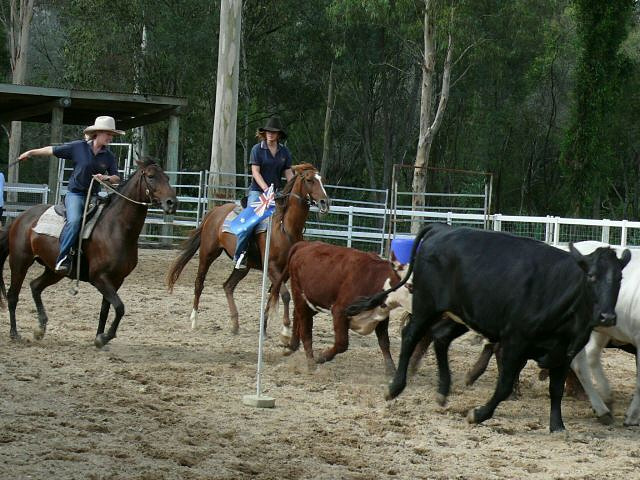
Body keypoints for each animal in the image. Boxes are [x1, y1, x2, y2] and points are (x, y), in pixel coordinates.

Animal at [0, 159, 178, 346]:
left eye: (167, 177)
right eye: (151, 176)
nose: (172, 203)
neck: (115, 228)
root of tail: (20, 219)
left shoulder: (116, 280)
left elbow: (106, 310)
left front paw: (99, 338)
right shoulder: (99, 278)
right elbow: (120, 307)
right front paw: (105, 337)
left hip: (54, 270)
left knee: (35, 286)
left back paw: (40, 329)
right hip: (20, 262)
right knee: (13, 296)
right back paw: (14, 333)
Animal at [169, 161, 330, 338]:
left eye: (321, 179)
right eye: (309, 180)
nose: (325, 202)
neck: (285, 227)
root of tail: (214, 212)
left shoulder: (284, 271)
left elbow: (273, 294)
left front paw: (264, 329)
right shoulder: (271, 267)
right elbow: (285, 295)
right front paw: (285, 330)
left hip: (242, 267)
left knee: (228, 286)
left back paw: (235, 325)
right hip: (207, 254)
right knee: (199, 283)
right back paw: (194, 320)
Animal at [264, 242, 410, 374]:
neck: (375, 277)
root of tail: (303, 244)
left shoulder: (381, 316)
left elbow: (384, 342)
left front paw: (391, 371)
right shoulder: (339, 311)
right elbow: (342, 343)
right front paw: (321, 357)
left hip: (313, 301)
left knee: (297, 315)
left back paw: (291, 347)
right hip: (299, 295)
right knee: (305, 330)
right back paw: (311, 363)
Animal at [344, 223, 632, 434]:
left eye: (619, 278)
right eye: (591, 276)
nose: (607, 316)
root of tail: (441, 229)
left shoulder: (564, 351)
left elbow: (556, 390)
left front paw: (557, 427)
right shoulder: (515, 343)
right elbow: (503, 386)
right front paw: (479, 414)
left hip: (461, 315)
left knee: (440, 338)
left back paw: (443, 390)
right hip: (427, 305)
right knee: (410, 335)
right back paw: (395, 386)